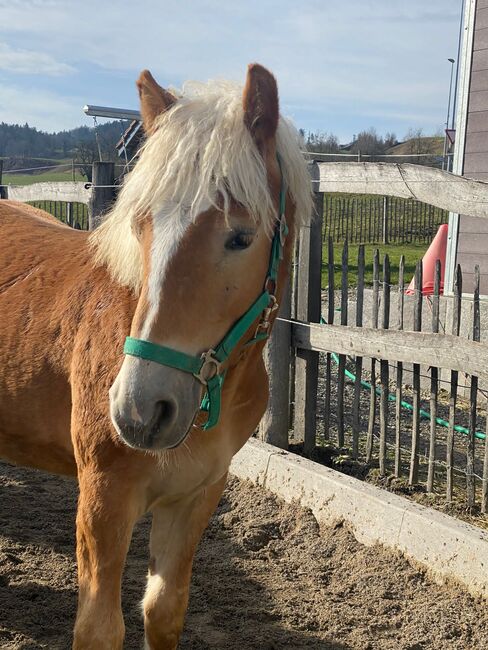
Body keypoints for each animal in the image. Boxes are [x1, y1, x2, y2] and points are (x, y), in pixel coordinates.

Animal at [0, 66, 312, 648]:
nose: (139, 411)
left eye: (241, 237)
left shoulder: (195, 497)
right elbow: (99, 628)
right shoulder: (104, 498)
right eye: (141, 226)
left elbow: (163, 610)